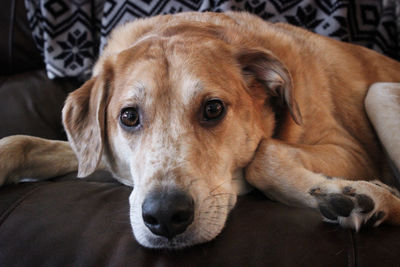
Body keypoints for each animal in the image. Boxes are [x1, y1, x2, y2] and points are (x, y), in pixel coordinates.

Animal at [0, 11, 400, 250]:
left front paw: (345, 195)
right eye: (128, 117)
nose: (165, 217)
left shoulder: (351, 150)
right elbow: (22, 142)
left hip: (380, 93)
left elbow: (263, 156)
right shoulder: (99, 153)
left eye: (213, 109)